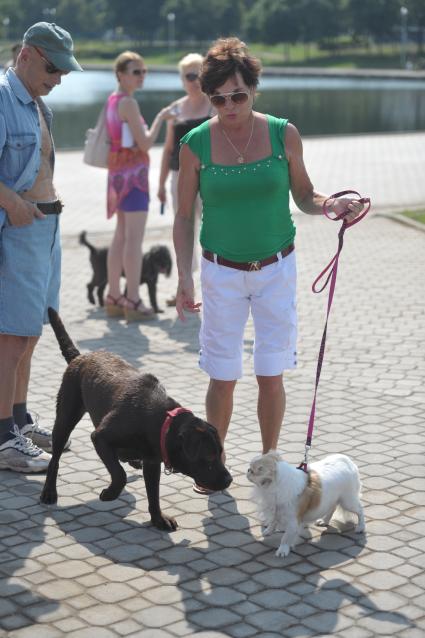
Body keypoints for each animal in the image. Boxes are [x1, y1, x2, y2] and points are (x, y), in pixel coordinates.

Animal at [39, 308, 232, 528]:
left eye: (220, 453)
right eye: (209, 457)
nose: (229, 480)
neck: (160, 421)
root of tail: (80, 357)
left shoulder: (152, 461)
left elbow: (153, 493)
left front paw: (158, 519)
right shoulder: (100, 437)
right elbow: (119, 474)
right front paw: (110, 493)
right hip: (65, 417)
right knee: (55, 459)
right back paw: (49, 491)